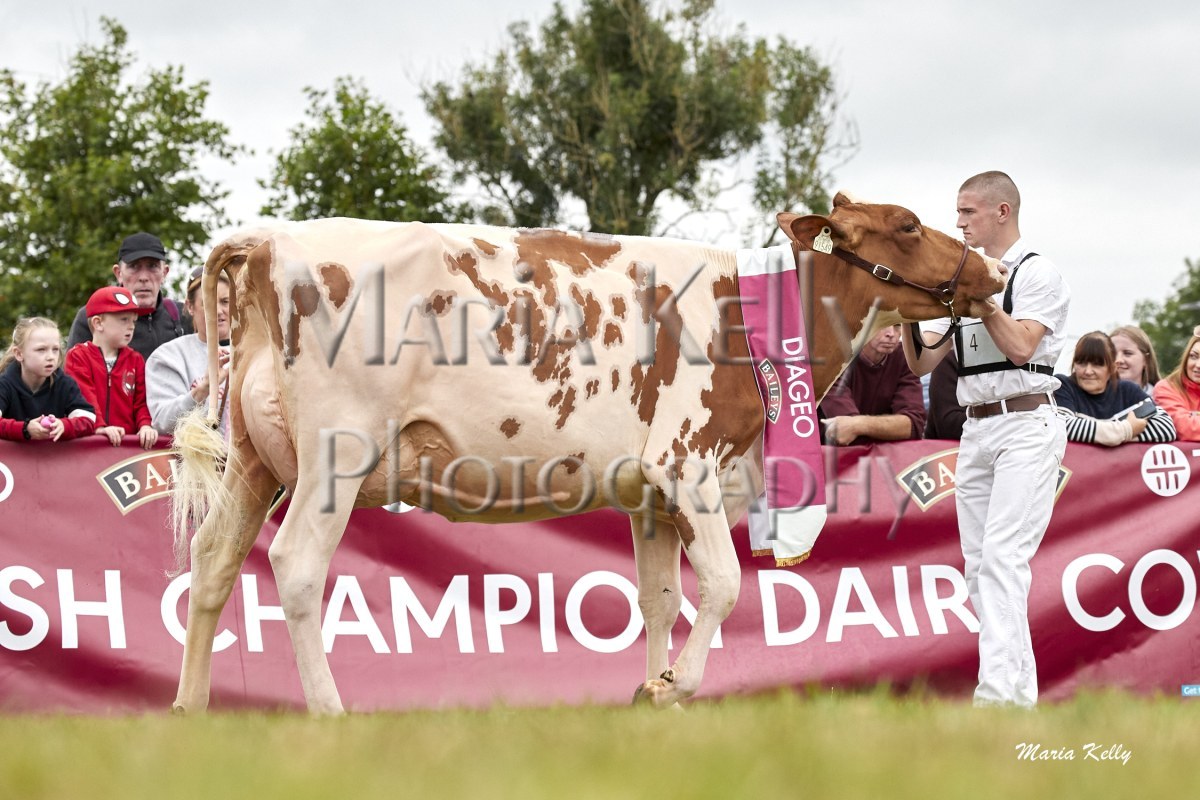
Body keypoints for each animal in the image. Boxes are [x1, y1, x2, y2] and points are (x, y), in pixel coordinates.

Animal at [169, 192, 1006, 714]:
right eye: (906, 225)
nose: (996, 272)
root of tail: (272, 239)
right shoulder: (687, 461)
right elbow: (726, 586)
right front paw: (673, 687)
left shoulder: (649, 494)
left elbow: (659, 598)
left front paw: (653, 692)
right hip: (335, 454)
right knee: (296, 568)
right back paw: (329, 711)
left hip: (255, 461)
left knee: (212, 562)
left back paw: (190, 710)